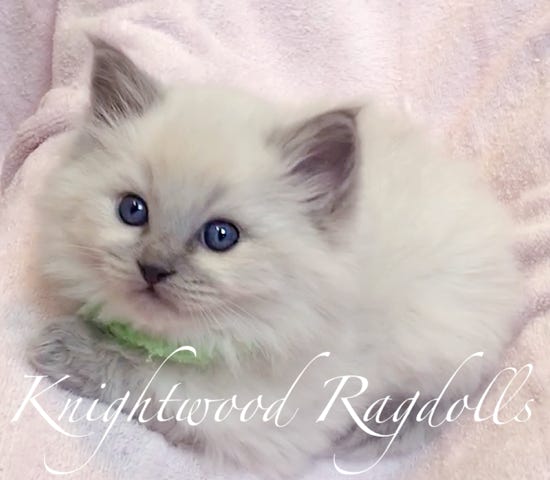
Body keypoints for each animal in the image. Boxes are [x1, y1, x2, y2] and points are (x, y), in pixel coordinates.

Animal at [28, 38, 522, 478]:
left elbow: (153, 379)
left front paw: (63, 349)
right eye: (132, 211)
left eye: (220, 236)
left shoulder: (261, 419)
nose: (153, 269)